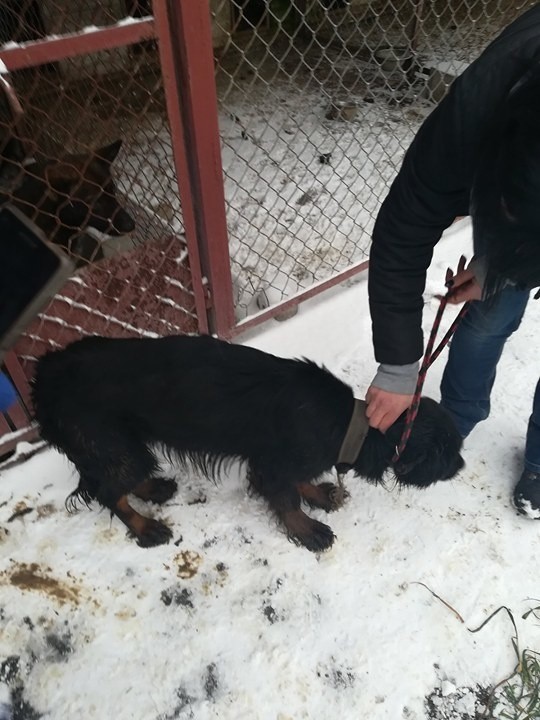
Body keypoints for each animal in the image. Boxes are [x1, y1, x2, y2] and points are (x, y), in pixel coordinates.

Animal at [32, 336, 464, 552]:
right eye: (445, 452)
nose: (461, 466)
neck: (348, 425)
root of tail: (46, 373)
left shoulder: (278, 460)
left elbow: (297, 483)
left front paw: (320, 496)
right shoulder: (272, 465)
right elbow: (286, 499)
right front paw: (308, 531)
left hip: (121, 443)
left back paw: (154, 489)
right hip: (108, 439)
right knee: (109, 491)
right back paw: (145, 527)